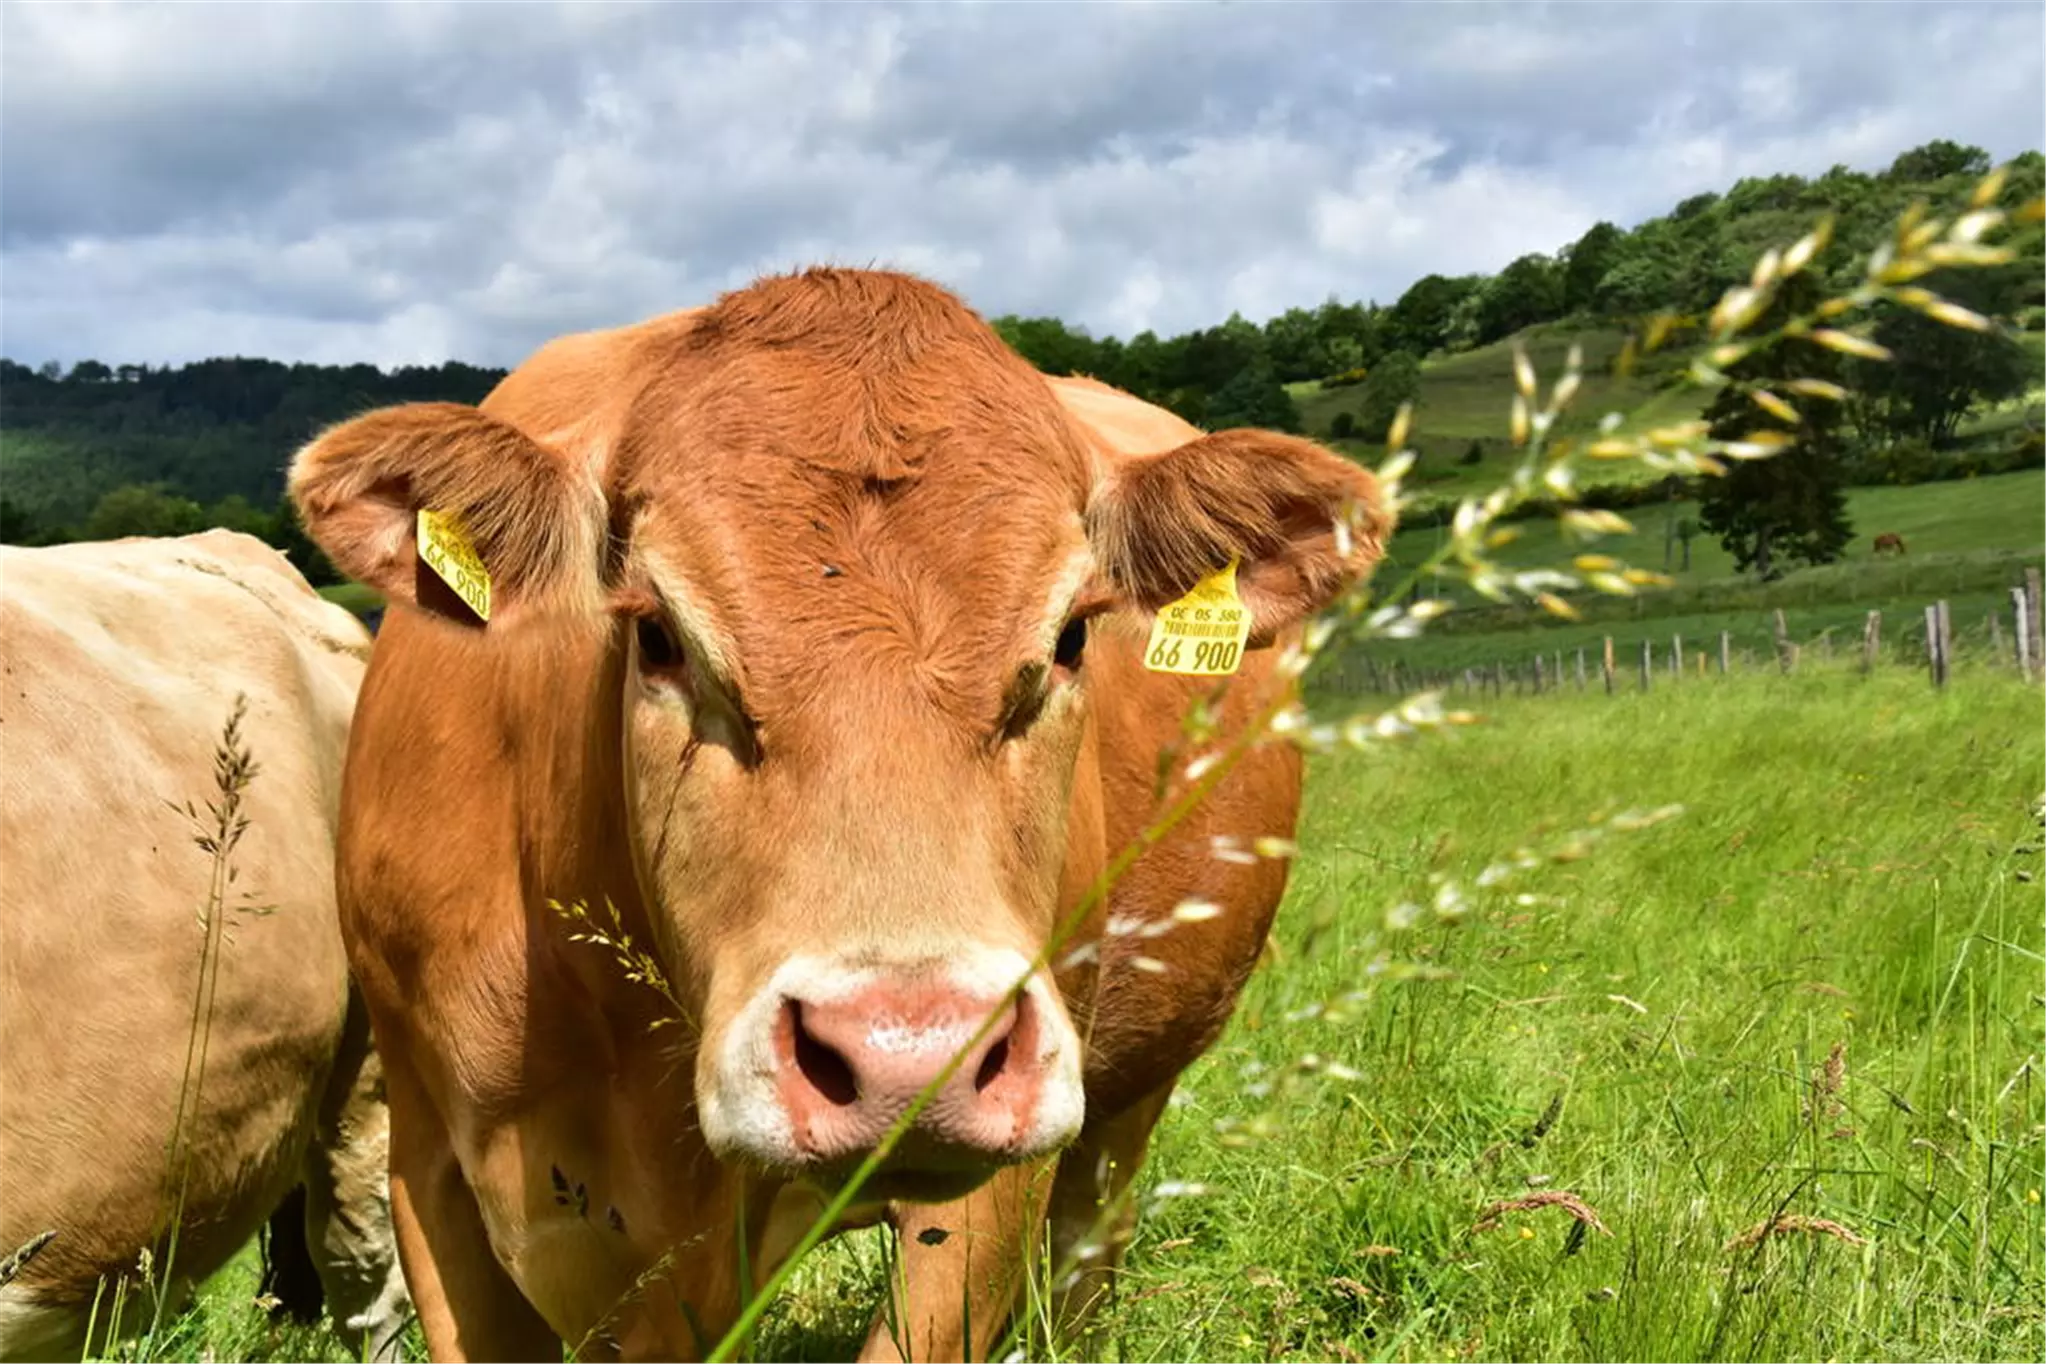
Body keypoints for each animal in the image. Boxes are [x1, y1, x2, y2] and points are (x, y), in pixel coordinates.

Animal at [288, 261, 1399, 1357]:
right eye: (657, 635)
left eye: (1074, 636)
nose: (909, 1058)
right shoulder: (427, 1169)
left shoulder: (998, 1181)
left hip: (1128, 1105)